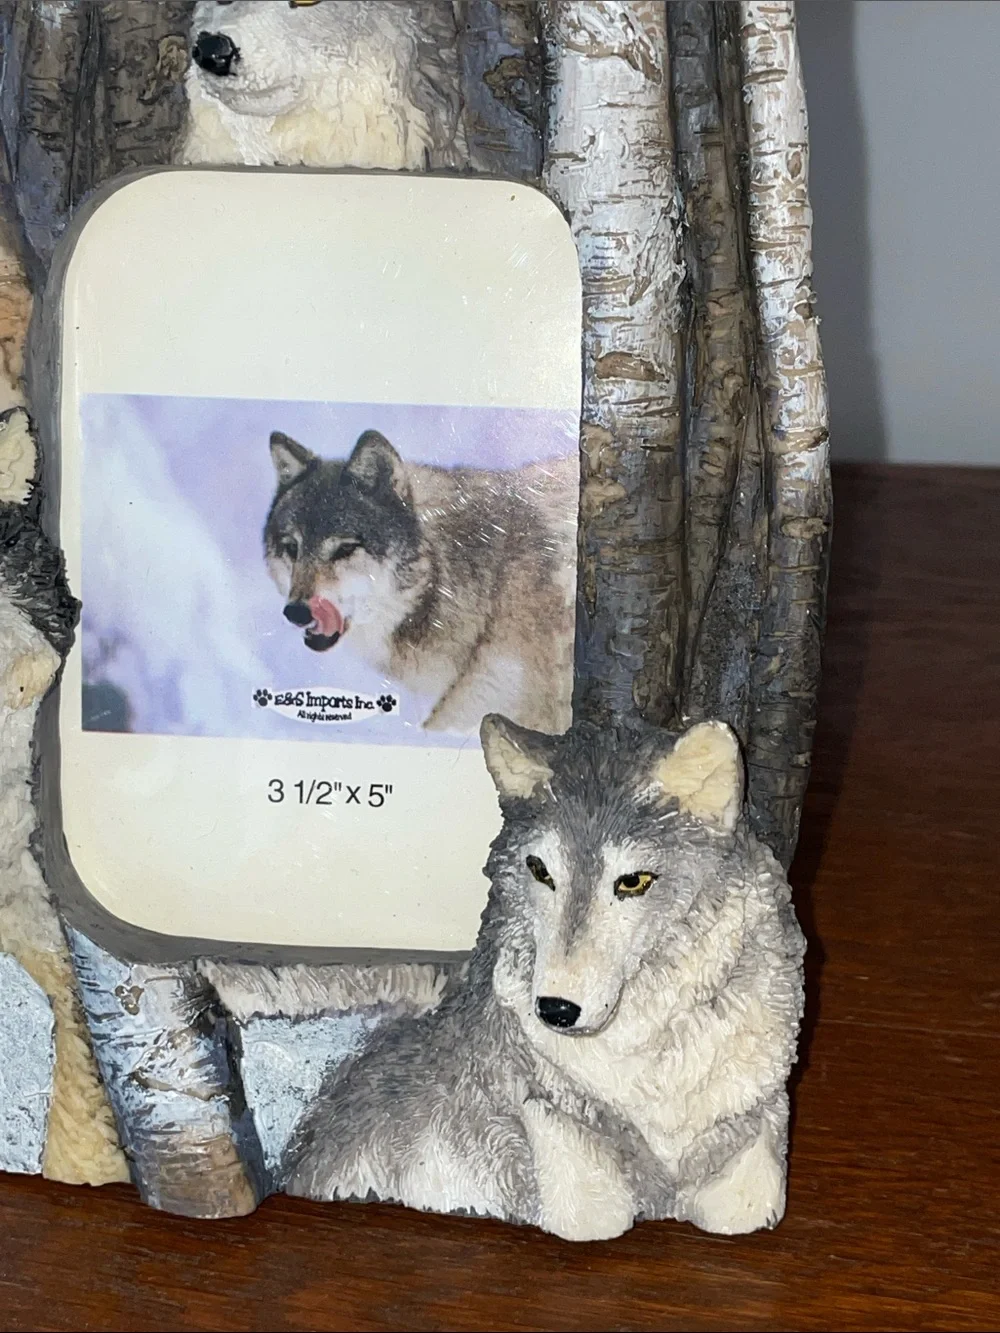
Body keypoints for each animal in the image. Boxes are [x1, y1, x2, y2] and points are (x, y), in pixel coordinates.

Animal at [283, 715, 806, 1241]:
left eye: (633, 882)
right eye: (540, 871)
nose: (555, 1009)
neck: (650, 1073)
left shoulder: (754, 1131)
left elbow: (746, 1207)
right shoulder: (561, 1149)